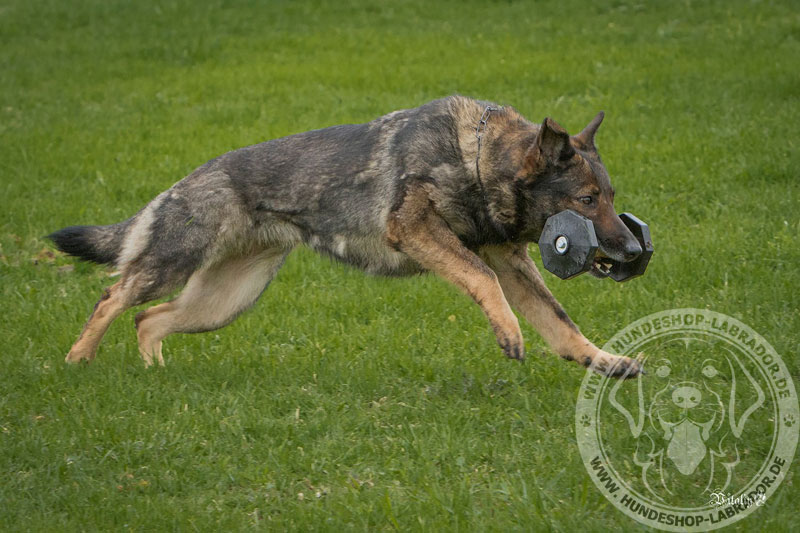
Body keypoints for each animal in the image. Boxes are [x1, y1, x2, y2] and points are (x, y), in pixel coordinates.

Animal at [48, 96, 644, 378]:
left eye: (610, 198)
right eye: (587, 201)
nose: (636, 251)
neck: (476, 158)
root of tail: (185, 180)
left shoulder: (512, 263)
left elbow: (562, 324)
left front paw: (606, 361)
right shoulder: (418, 232)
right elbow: (482, 281)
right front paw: (509, 332)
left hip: (224, 301)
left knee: (149, 320)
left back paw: (154, 373)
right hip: (175, 265)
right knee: (113, 296)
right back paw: (78, 360)